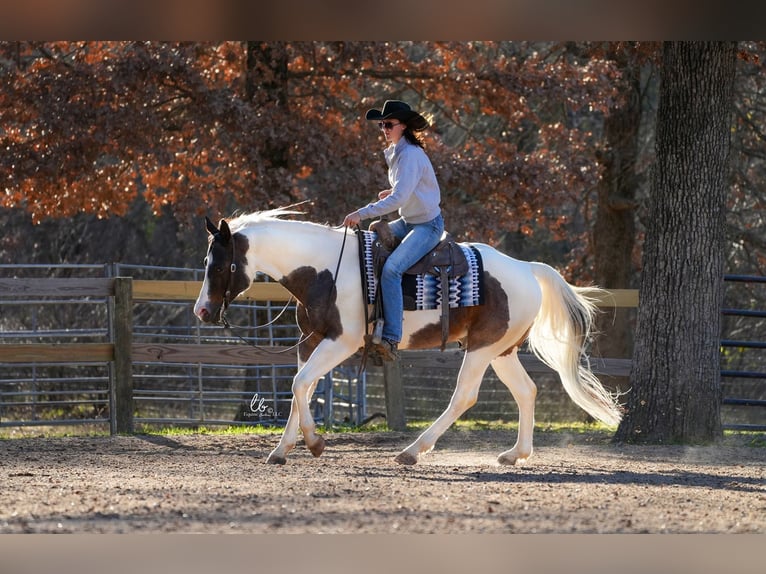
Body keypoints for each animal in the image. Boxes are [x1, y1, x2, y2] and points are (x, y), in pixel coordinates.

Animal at [194, 212, 624, 468]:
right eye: (205, 261)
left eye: (220, 264)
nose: (201, 311)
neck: (324, 270)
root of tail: (525, 267)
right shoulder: (310, 341)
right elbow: (303, 389)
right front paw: (283, 449)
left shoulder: (341, 343)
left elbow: (301, 385)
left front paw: (315, 443)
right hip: (501, 351)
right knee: (526, 391)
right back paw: (515, 453)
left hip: (481, 349)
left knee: (464, 397)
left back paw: (413, 450)